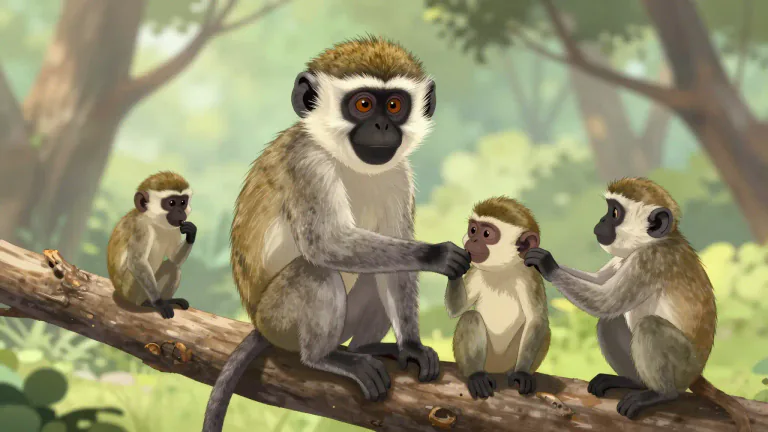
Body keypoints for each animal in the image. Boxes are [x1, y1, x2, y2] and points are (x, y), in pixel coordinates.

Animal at [106, 171, 197, 320]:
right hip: (130, 291)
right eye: (171, 203)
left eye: (183, 202)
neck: (153, 221)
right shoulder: (141, 228)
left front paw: (191, 232)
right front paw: (159, 303)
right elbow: (137, 262)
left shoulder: (175, 228)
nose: (180, 212)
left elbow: (173, 258)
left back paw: (167, 300)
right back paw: (149, 303)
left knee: (173, 267)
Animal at [202, 36, 471, 432]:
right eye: (363, 104)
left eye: (394, 105)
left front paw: (411, 346)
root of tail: (258, 325)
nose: (381, 126)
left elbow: (397, 260)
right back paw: (323, 357)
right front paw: (436, 254)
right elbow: (324, 244)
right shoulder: (306, 163)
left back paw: (366, 348)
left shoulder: (399, 174)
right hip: (278, 321)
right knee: (316, 271)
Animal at [446, 197, 550, 400]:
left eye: (486, 233)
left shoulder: (530, 276)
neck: (502, 270)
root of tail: (496, 370)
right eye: (473, 230)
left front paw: (522, 373)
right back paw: (476, 375)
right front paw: (454, 262)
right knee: (471, 317)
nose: (472, 239)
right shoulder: (475, 271)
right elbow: (457, 310)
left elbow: (537, 319)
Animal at [524, 177, 751, 431]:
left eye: (614, 213)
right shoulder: (625, 258)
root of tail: (697, 372)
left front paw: (547, 265)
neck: (652, 242)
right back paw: (634, 382)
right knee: (610, 322)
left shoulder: (650, 260)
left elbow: (606, 301)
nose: (601, 220)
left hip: (684, 366)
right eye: (608, 210)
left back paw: (662, 394)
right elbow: (599, 283)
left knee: (649, 326)